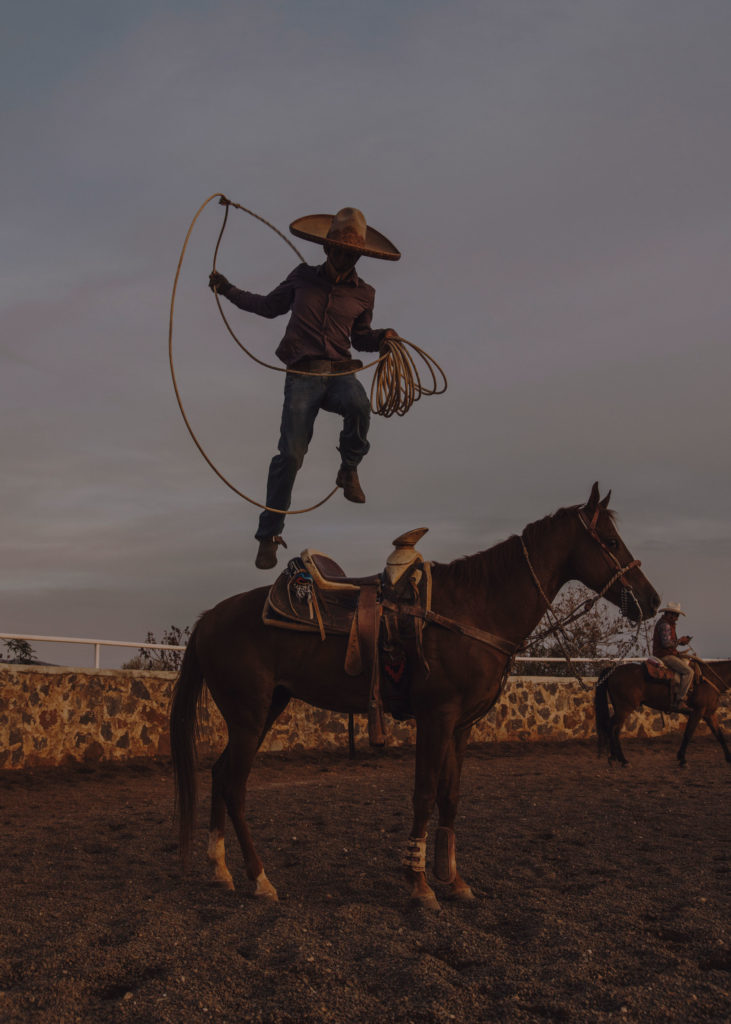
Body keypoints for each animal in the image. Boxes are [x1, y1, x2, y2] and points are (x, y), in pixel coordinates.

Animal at [172, 483, 659, 909]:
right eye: (611, 541)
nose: (651, 601)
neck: (473, 610)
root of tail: (210, 616)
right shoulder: (436, 717)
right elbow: (423, 793)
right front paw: (420, 885)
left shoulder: (462, 726)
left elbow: (451, 796)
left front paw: (454, 881)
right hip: (249, 714)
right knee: (234, 786)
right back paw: (260, 879)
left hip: (265, 710)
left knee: (219, 775)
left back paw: (221, 870)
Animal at [593, 655, 728, 770]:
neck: (707, 680)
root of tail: (613, 671)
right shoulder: (697, 712)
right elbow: (688, 734)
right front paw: (682, 760)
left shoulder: (709, 714)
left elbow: (719, 735)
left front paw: (729, 757)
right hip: (624, 708)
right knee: (612, 727)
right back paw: (622, 760)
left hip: (620, 709)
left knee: (613, 728)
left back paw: (615, 758)